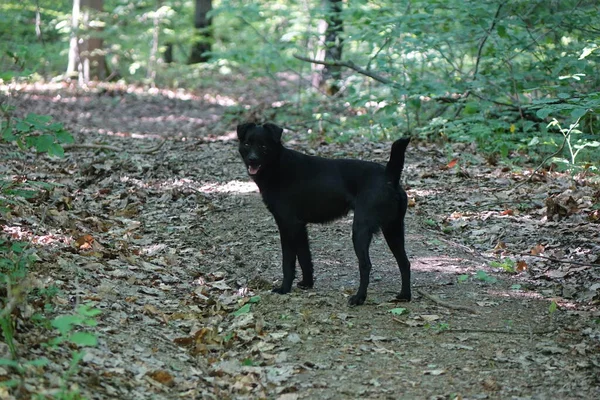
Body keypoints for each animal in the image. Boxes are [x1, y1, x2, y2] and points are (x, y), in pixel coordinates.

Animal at [237, 123, 410, 304]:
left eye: (263, 146)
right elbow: (305, 257)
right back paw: (404, 296)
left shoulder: (287, 224)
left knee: (366, 265)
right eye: (247, 144)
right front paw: (307, 283)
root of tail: (389, 177)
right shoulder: (299, 227)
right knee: (404, 262)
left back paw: (359, 298)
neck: (277, 165)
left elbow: (288, 261)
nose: (252, 159)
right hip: (393, 229)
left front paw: (284, 288)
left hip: (361, 230)